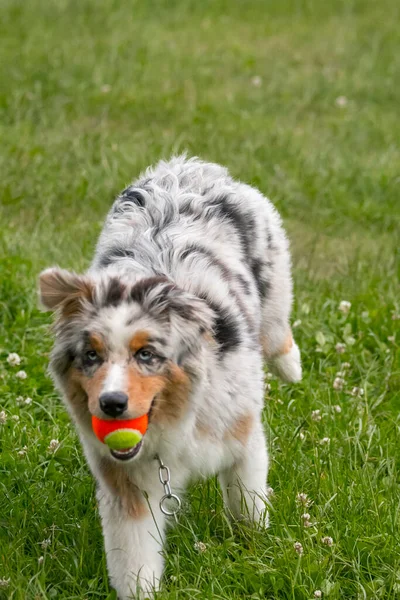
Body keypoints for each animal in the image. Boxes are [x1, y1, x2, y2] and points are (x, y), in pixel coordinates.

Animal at [39, 156, 300, 600]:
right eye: (92, 356)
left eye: (147, 355)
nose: (111, 404)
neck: (177, 415)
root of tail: (190, 166)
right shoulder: (129, 481)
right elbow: (134, 555)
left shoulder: (243, 437)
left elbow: (248, 506)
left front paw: (258, 551)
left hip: (275, 280)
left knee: (278, 332)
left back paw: (293, 364)